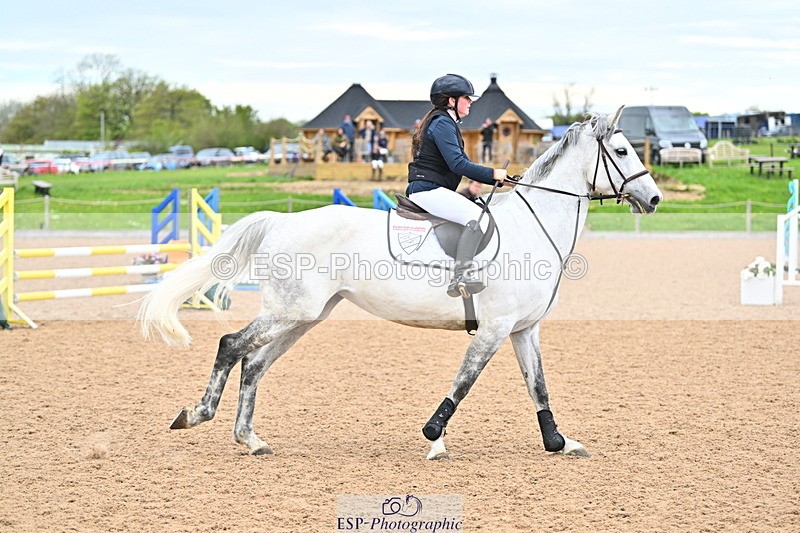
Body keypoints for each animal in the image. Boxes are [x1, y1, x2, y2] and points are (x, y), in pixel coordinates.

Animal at [138, 106, 663, 459]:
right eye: (621, 150)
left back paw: (250, 439)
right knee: (232, 345)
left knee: (255, 363)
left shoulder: (522, 330)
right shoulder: (495, 329)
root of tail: (282, 221)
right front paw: (434, 438)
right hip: (289, 312)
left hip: (305, 316)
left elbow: (539, 387)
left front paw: (559, 441)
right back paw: (197, 415)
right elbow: (464, 381)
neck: (532, 227)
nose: (654, 199)